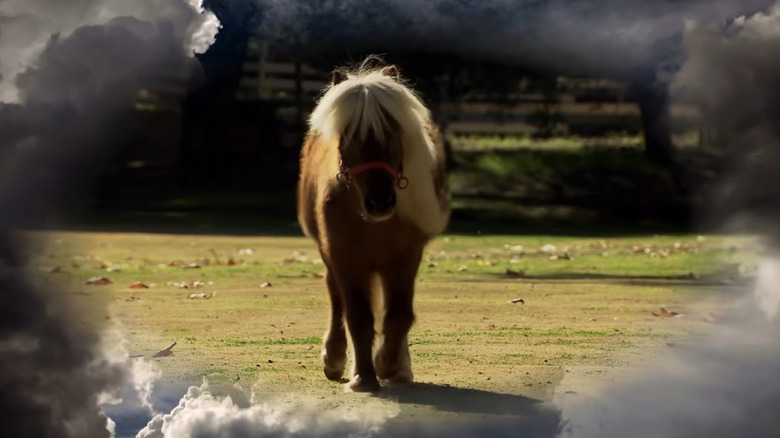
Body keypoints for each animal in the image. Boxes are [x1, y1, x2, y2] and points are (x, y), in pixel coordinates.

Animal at [296, 56, 448, 392]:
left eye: (394, 133)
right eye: (349, 137)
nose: (381, 201)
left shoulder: (405, 258)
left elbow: (399, 316)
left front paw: (389, 365)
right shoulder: (345, 258)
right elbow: (358, 315)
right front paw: (363, 377)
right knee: (336, 298)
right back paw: (335, 358)